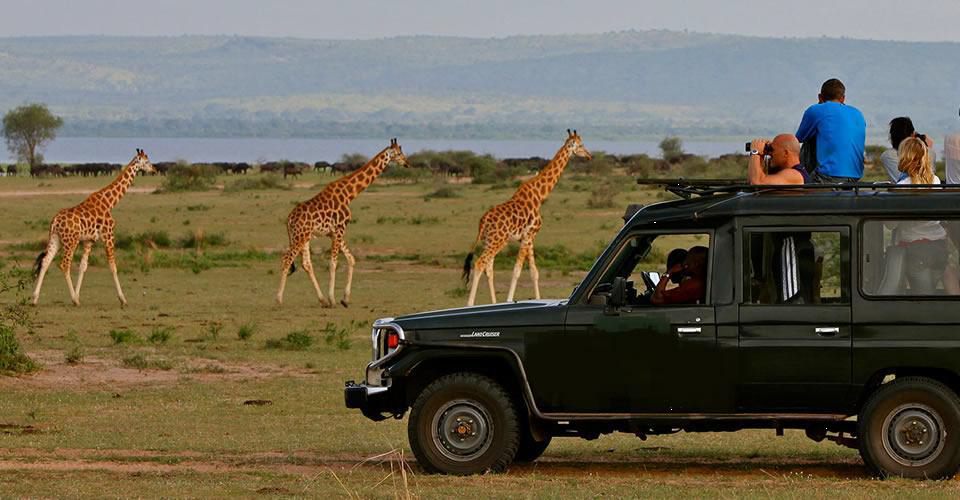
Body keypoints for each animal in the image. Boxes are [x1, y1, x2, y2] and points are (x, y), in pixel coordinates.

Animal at [32, 149, 156, 306]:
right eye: (147, 161)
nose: (154, 169)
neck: (109, 203)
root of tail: (55, 221)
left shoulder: (89, 241)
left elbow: (83, 266)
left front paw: (78, 295)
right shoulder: (109, 235)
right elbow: (113, 266)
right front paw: (122, 299)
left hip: (55, 239)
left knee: (45, 261)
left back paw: (34, 298)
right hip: (70, 242)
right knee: (64, 265)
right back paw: (73, 300)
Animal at [276, 138, 408, 307]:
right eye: (398, 153)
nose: (407, 163)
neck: (349, 194)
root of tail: (289, 219)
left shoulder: (334, 232)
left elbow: (351, 259)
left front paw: (344, 299)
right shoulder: (340, 229)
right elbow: (333, 263)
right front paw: (333, 299)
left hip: (304, 236)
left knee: (306, 264)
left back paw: (322, 300)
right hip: (299, 236)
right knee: (287, 259)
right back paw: (279, 299)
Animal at [463, 130, 591, 306]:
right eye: (581, 145)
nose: (589, 156)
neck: (540, 196)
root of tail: (482, 222)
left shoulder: (529, 237)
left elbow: (534, 272)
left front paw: (537, 299)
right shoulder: (528, 236)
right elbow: (517, 270)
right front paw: (509, 299)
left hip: (489, 240)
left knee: (489, 268)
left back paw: (494, 302)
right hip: (498, 241)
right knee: (480, 263)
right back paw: (470, 303)